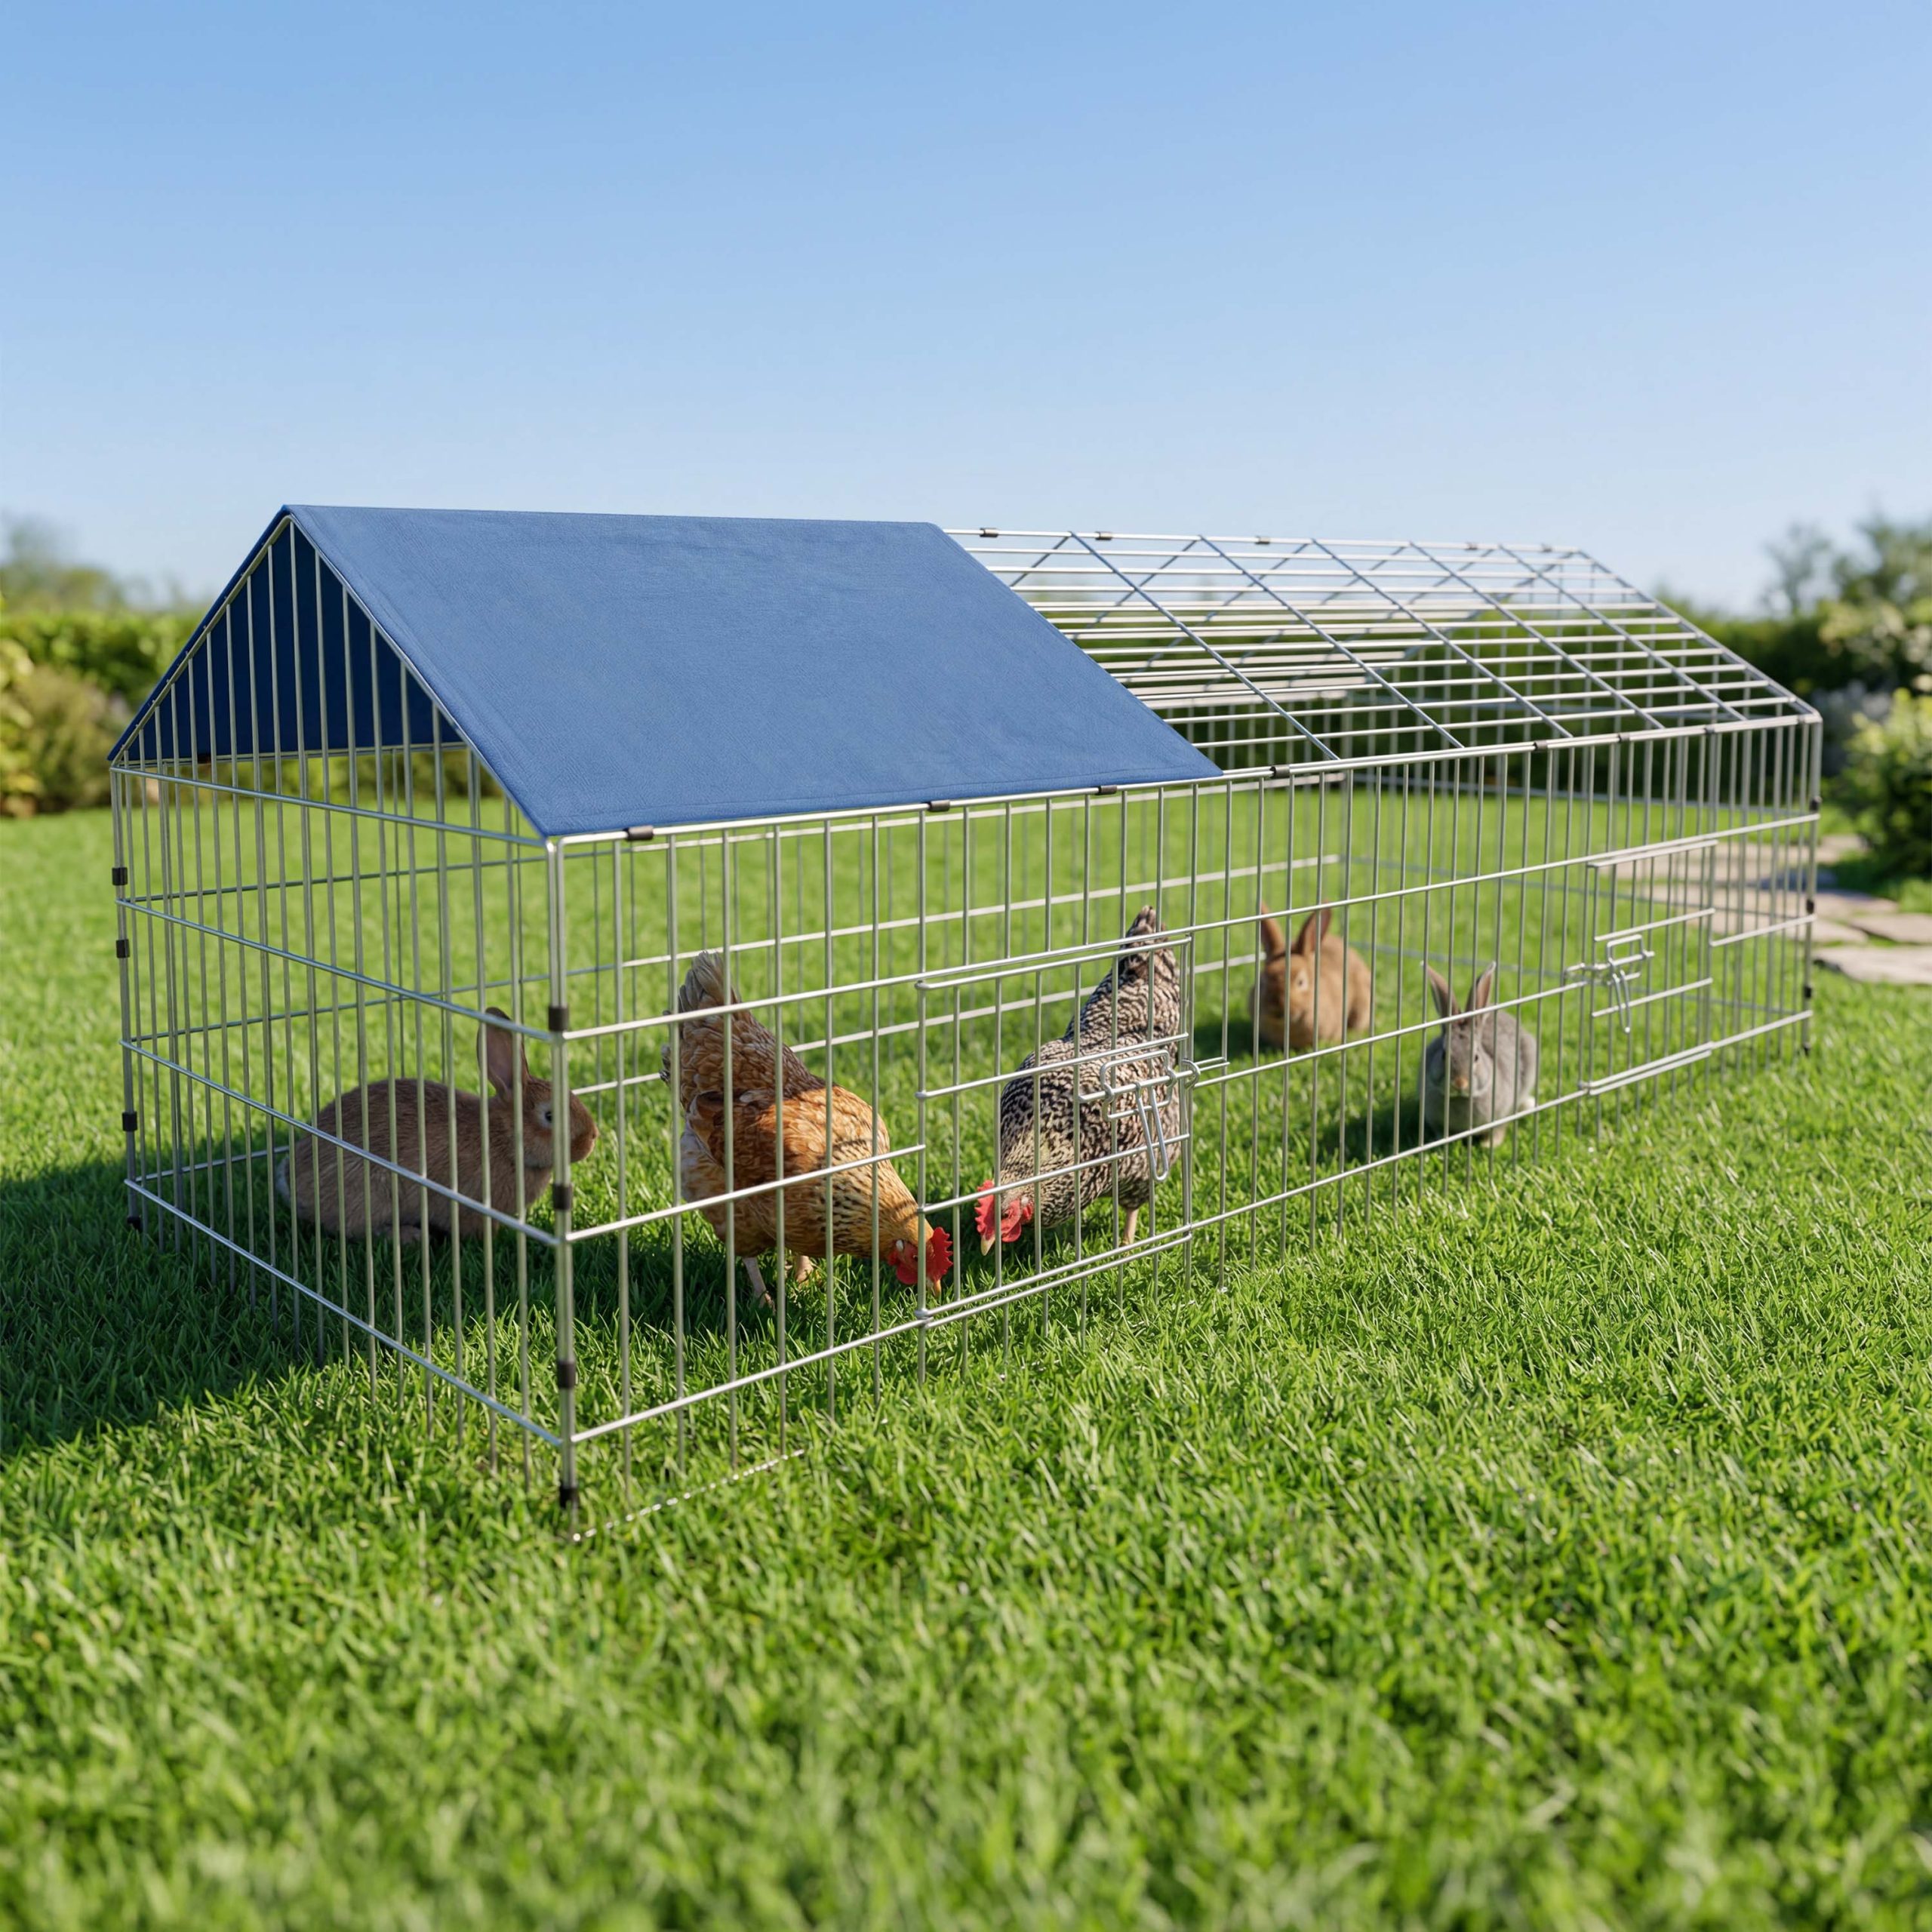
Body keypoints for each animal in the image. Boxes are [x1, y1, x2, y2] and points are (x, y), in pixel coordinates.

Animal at [1421, 963, 1538, 1148]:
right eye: (1444, 1055)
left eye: (1476, 1057)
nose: (1459, 1083)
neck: (1460, 1098)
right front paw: (1439, 1142)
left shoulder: (1501, 1114)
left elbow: (1498, 1130)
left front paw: (1488, 1145)